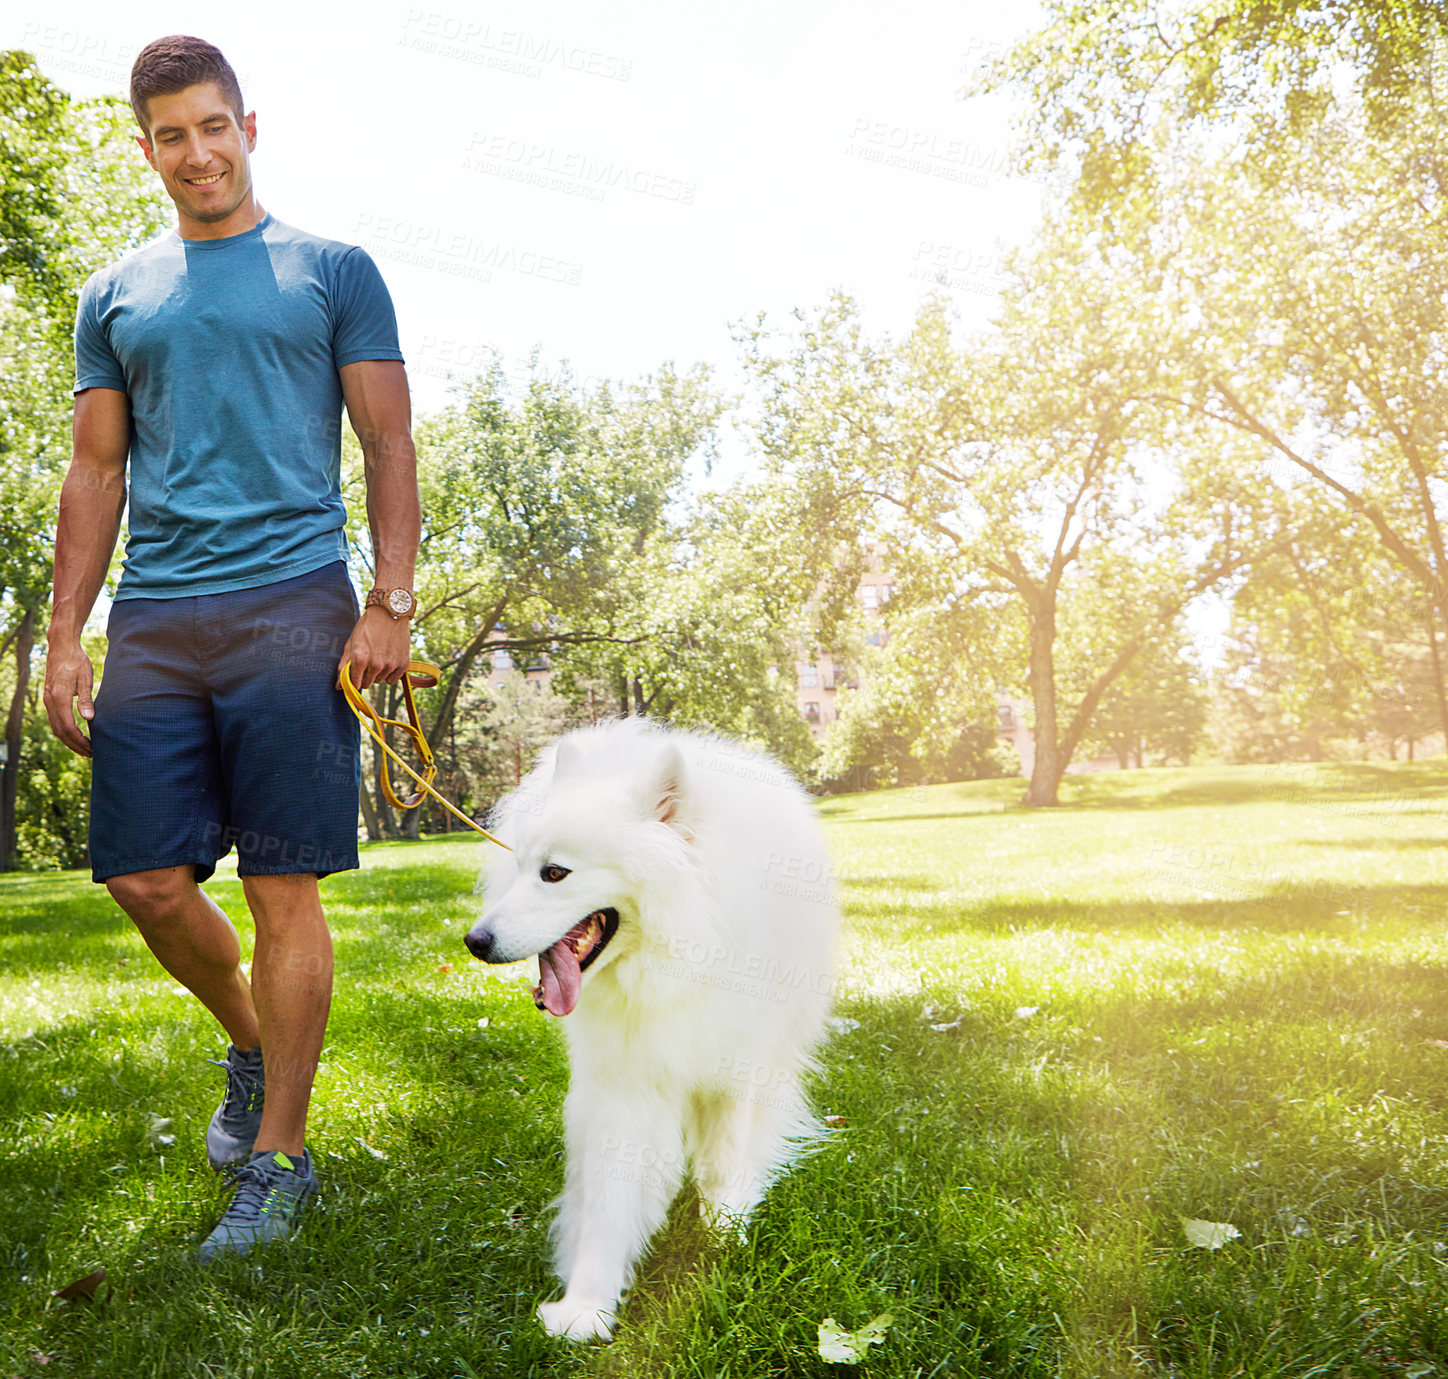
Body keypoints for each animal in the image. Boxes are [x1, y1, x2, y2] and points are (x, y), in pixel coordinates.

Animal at [463, 715, 845, 1338]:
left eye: (555, 873)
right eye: (518, 868)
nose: (475, 942)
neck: (678, 957)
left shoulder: (733, 1069)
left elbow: (722, 1160)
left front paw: (724, 1233)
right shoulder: (627, 1085)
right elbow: (608, 1200)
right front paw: (586, 1306)